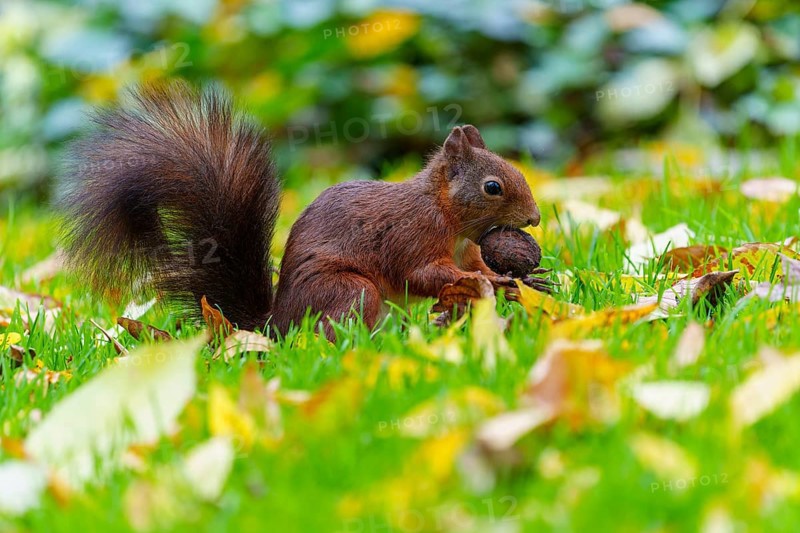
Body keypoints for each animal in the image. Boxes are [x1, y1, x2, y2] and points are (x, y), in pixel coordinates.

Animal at [59, 82, 549, 340]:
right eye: (492, 187)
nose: (535, 218)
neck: (447, 215)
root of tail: (276, 324)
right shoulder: (414, 236)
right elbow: (424, 273)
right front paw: (491, 282)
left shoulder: (468, 247)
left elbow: (473, 266)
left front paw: (523, 280)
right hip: (348, 290)